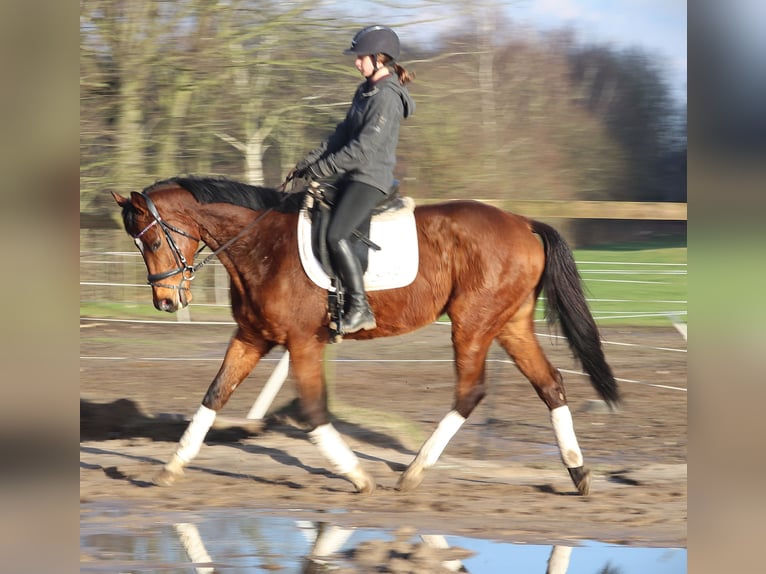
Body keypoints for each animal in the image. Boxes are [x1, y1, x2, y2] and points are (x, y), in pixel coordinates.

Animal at [112, 176, 616, 500]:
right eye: (138, 244)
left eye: (152, 242)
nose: (166, 302)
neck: (262, 245)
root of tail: (522, 222)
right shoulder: (252, 337)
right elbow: (214, 395)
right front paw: (171, 467)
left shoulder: (302, 342)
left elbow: (314, 411)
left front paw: (357, 477)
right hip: (509, 324)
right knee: (550, 384)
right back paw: (578, 473)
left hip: (472, 323)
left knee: (470, 392)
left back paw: (412, 474)